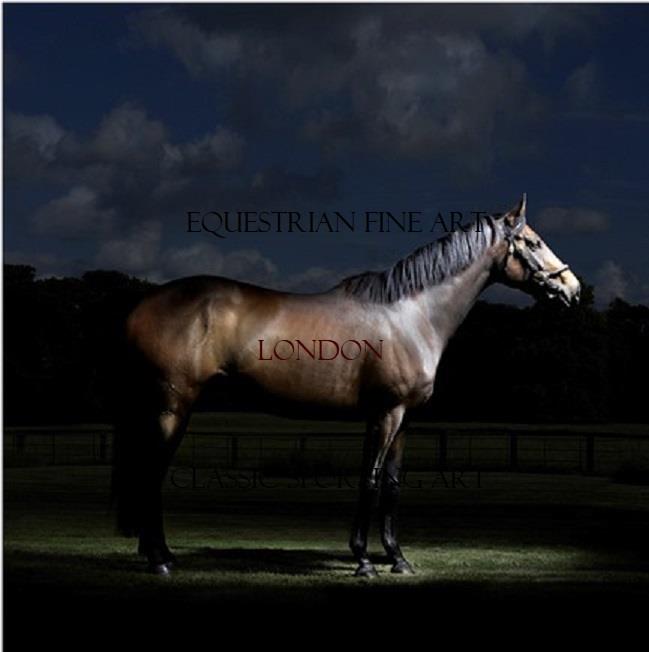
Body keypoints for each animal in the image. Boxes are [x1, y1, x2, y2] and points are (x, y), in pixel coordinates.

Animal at [112, 194, 581, 576]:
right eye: (533, 243)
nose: (572, 289)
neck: (412, 315)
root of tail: (141, 306)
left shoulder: (404, 419)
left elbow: (391, 485)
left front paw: (398, 558)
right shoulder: (384, 413)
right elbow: (369, 482)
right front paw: (363, 561)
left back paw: (158, 554)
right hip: (174, 406)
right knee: (151, 472)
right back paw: (160, 560)